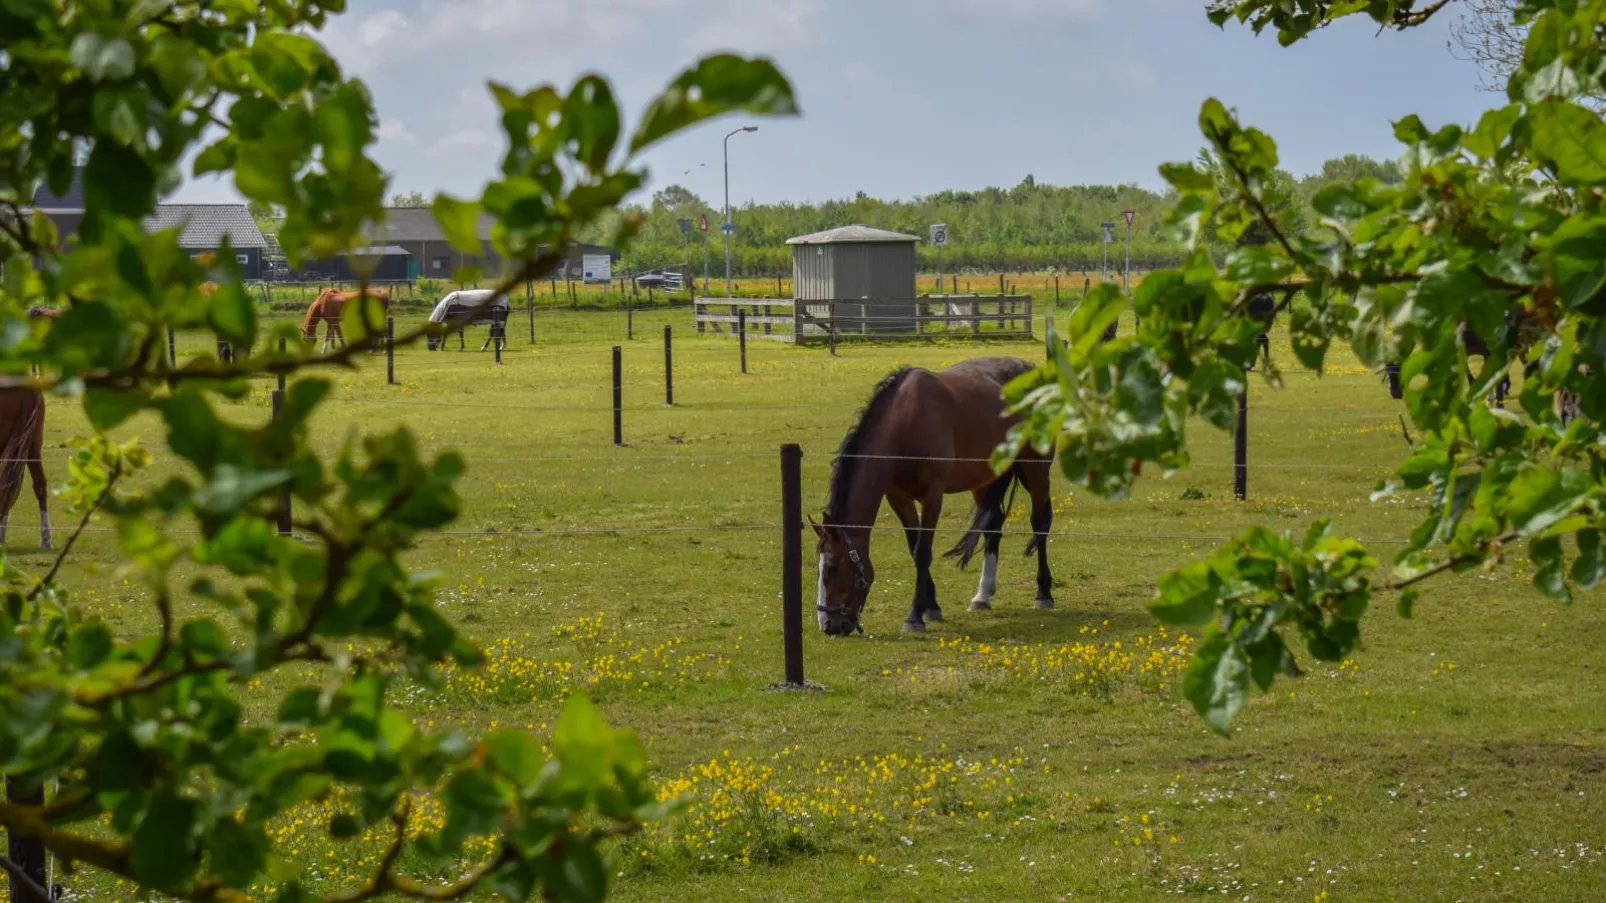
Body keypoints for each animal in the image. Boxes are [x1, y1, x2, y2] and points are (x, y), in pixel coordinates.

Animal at [809, 356, 1059, 633]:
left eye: (831, 568)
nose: (828, 625)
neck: (906, 424)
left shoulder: (932, 496)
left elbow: (922, 552)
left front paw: (914, 617)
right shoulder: (899, 499)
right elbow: (914, 547)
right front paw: (931, 607)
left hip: (1035, 469)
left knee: (1039, 524)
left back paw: (1043, 594)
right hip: (985, 479)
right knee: (993, 529)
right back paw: (982, 596)